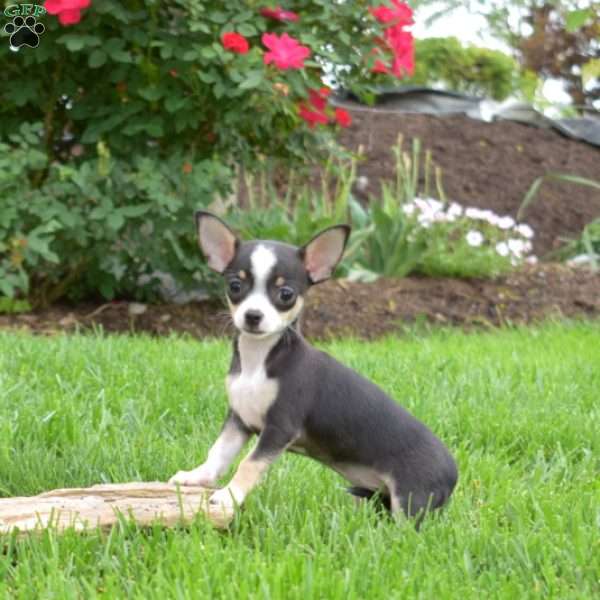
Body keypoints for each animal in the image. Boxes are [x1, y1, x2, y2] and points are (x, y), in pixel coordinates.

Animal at [170, 212, 460, 520]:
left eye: (285, 294)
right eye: (235, 286)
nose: (252, 315)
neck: (258, 360)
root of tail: (453, 473)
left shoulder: (279, 429)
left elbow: (249, 464)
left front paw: (229, 496)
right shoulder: (239, 420)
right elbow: (219, 453)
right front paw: (197, 477)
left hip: (409, 503)